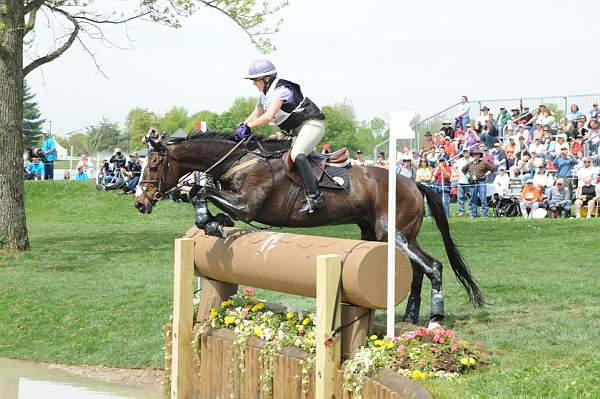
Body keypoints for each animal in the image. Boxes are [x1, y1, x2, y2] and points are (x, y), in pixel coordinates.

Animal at [134, 133, 486, 326]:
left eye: (154, 164)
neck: (240, 161)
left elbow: (201, 191)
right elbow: (201, 192)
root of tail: (413, 182)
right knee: (417, 270)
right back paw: (412, 317)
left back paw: (435, 318)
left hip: (392, 233)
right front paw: (217, 222)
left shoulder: (249, 206)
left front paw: (212, 222)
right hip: (382, 235)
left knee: (434, 266)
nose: (140, 202)